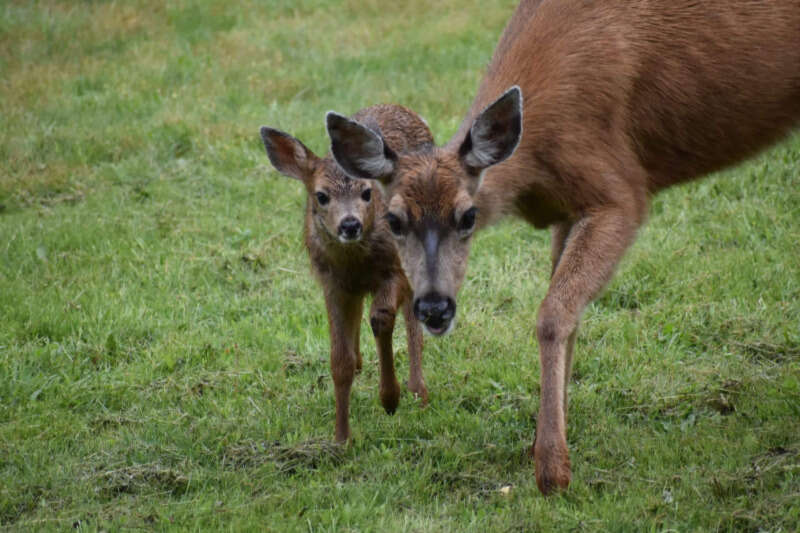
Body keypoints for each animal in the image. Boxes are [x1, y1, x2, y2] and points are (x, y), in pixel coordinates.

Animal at [324, 0, 800, 492]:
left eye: (469, 216)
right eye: (394, 220)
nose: (435, 308)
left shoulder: (620, 191)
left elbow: (552, 315)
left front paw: (552, 468)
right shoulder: (566, 208)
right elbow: (569, 315)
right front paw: (544, 439)